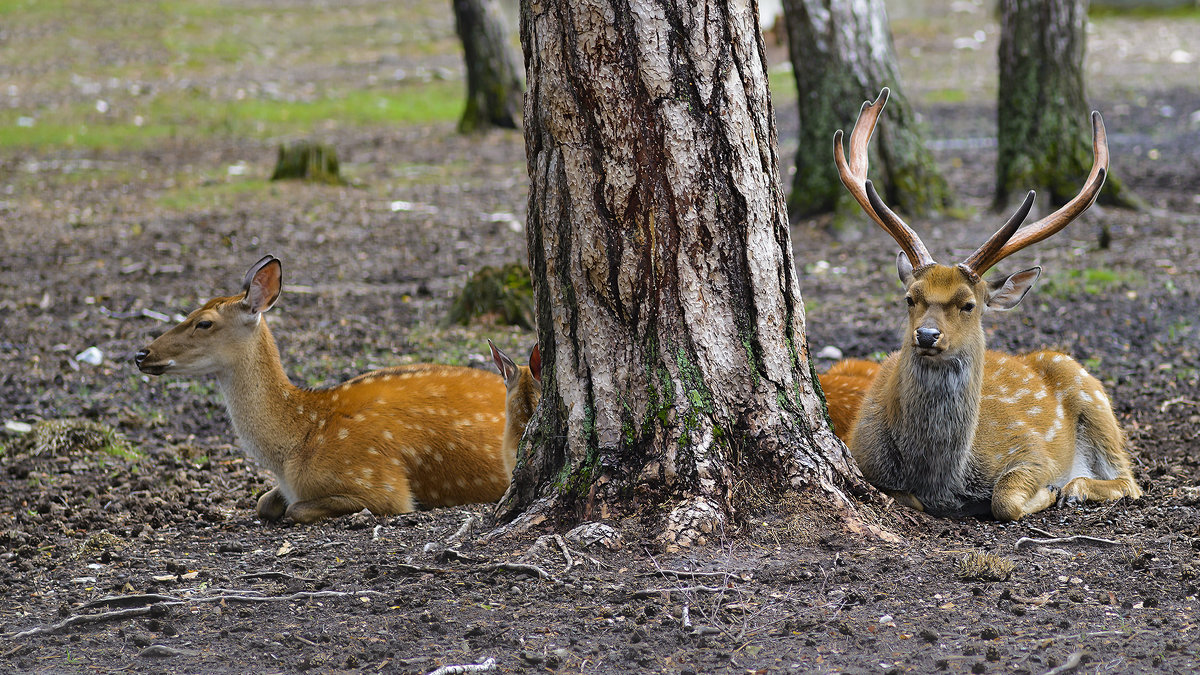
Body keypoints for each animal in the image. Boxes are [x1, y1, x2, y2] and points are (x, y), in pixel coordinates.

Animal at [136, 254, 511, 523]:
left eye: (204, 323)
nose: (142, 354)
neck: (294, 450)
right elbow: (263, 502)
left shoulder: (381, 484)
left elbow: (296, 509)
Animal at [840, 88, 1137, 521]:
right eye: (910, 298)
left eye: (968, 304)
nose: (926, 335)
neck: (942, 479)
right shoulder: (861, 455)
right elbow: (903, 495)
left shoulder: (1032, 450)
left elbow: (1005, 499)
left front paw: (1049, 491)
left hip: (1093, 395)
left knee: (1129, 479)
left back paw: (1074, 488)